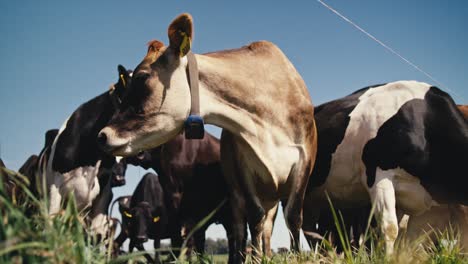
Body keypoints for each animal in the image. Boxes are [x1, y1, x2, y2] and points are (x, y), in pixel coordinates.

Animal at [98, 12, 318, 262]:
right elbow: (254, 218)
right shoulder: (242, 171)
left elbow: (294, 216)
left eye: (143, 77)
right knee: (242, 230)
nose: (102, 135)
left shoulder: (305, 161)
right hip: (237, 196)